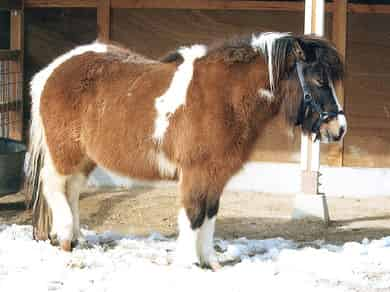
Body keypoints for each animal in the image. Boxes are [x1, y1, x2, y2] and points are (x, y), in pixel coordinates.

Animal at [25, 32, 346, 270]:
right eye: (319, 80)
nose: (339, 128)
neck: (224, 96)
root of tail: (53, 70)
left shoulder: (216, 173)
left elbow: (209, 213)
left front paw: (210, 262)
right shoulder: (195, 171)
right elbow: (193, 214)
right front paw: (189, 262)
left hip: (84, 157)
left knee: (72, 190)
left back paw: (75, 238)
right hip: (64, 152)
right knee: (55, 187)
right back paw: (65, 237)